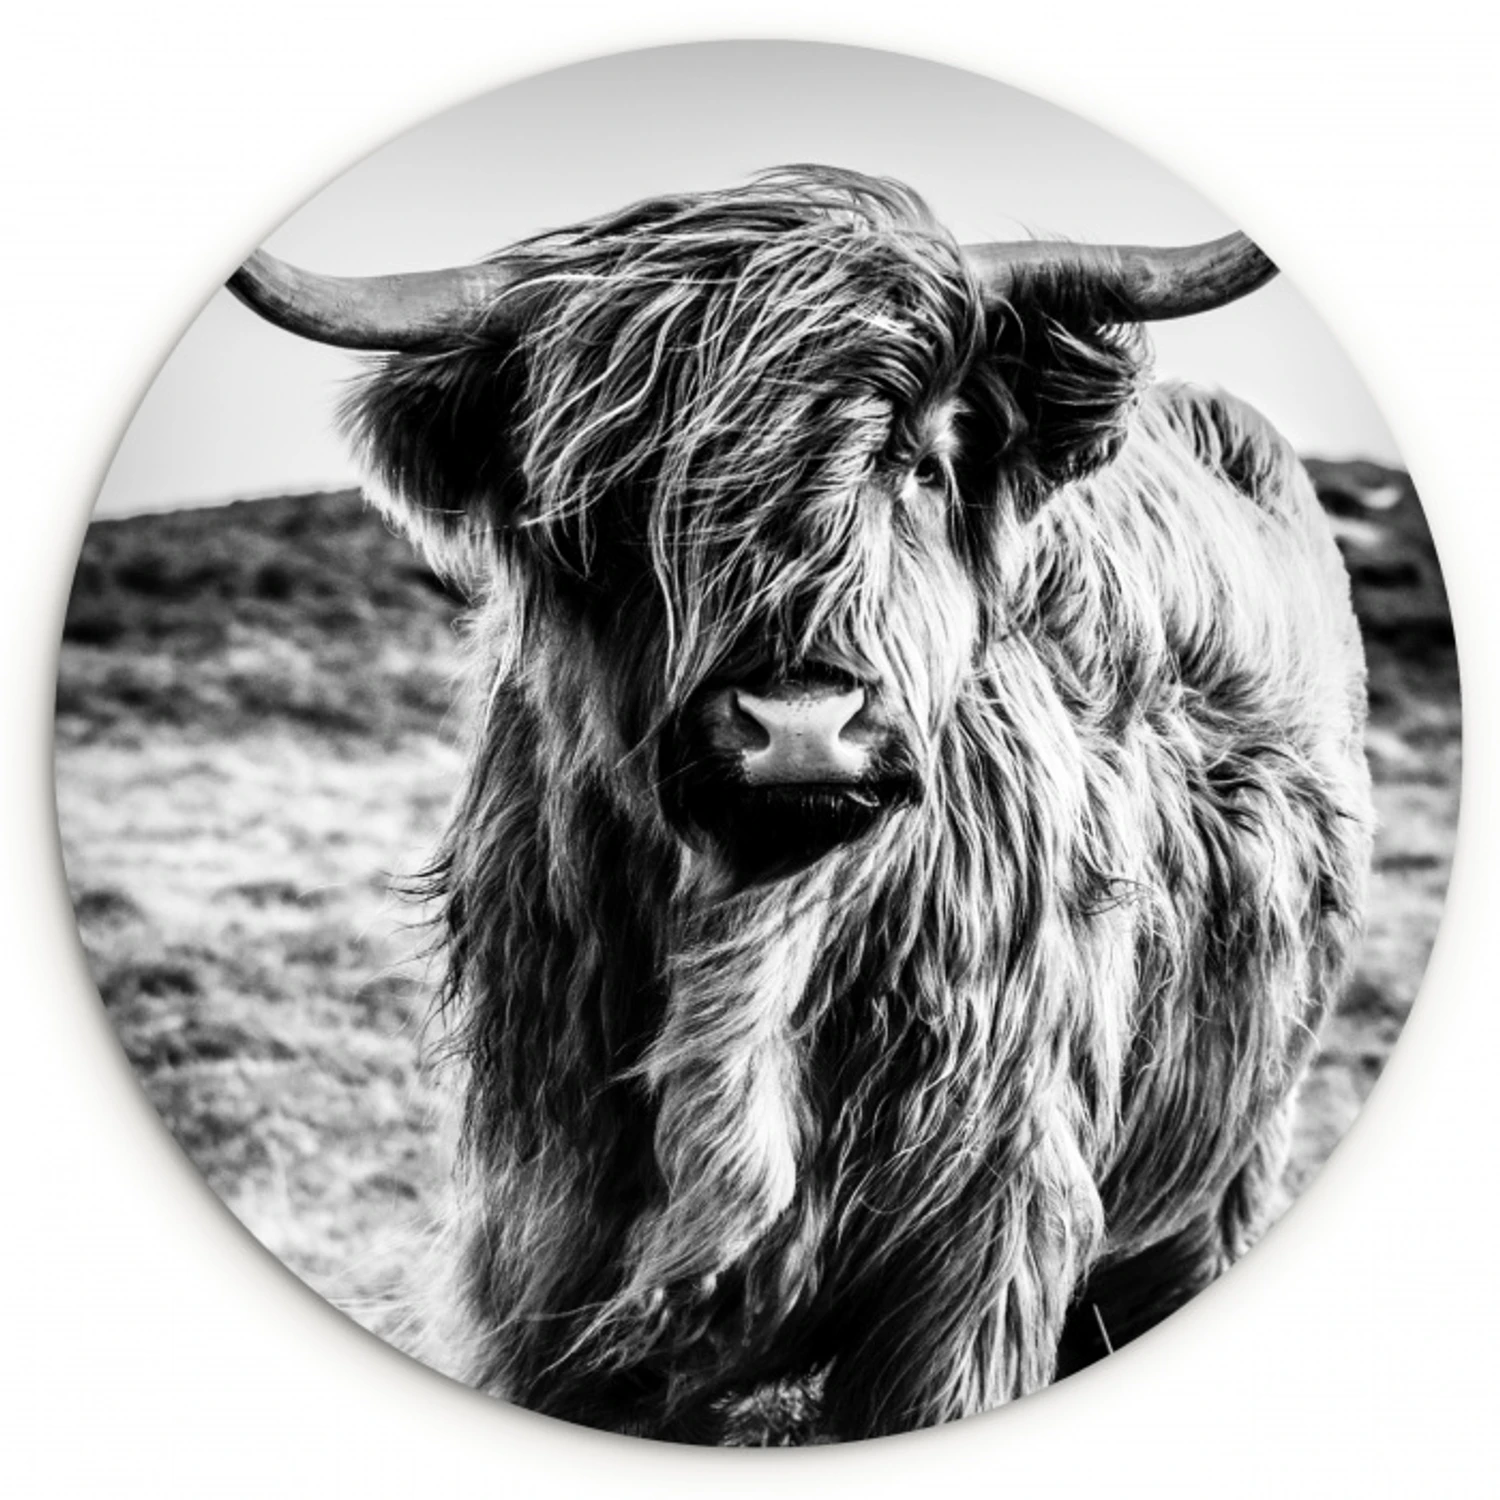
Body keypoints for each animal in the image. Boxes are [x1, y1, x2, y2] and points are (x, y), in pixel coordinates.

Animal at [229, 167, 1373, 1442]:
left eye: (921, 464)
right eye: (622, 497)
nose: (800, 722)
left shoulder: (981, 1246)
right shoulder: (550, 1249)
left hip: (1227, 1168)